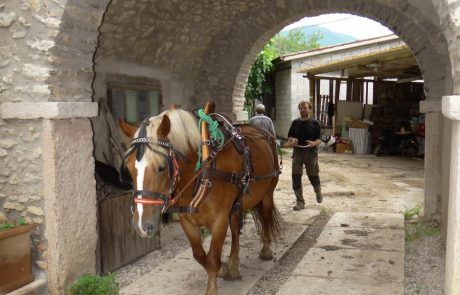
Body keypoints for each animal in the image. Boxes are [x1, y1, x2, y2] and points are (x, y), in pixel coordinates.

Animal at [120, 106, 282, 295]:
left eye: (161, 167)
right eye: (129, 169)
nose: (141, 225)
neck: (203, 173)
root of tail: (261, 131)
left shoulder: (219, 221)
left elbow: (212, 258)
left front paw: (213, 285)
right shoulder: (187, 222)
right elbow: (199, 254)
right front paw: (223, 268)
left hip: (268, 192)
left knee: (266, 217)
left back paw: (266, 250)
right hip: (236, 204)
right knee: (235, 229)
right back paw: (233, 266)